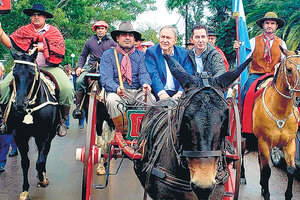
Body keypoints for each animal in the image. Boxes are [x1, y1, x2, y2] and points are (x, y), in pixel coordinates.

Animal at [2, 49, 59, 199]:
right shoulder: (19, 136)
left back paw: (42, 176)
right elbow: (25, 163)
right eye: (14, 73)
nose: (20, 104)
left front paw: (43, 179)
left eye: (32, 74)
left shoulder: (45, 135)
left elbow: (40, 161)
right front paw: (25, 189)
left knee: (43, 155)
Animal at [253, 48, 300, 200]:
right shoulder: (263, 142)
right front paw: (266, 193)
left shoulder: (290, 143)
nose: (299, 99)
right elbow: (267, 171)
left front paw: (288, 195)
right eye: (289, 70)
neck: (280, 112)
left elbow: (291, 170)